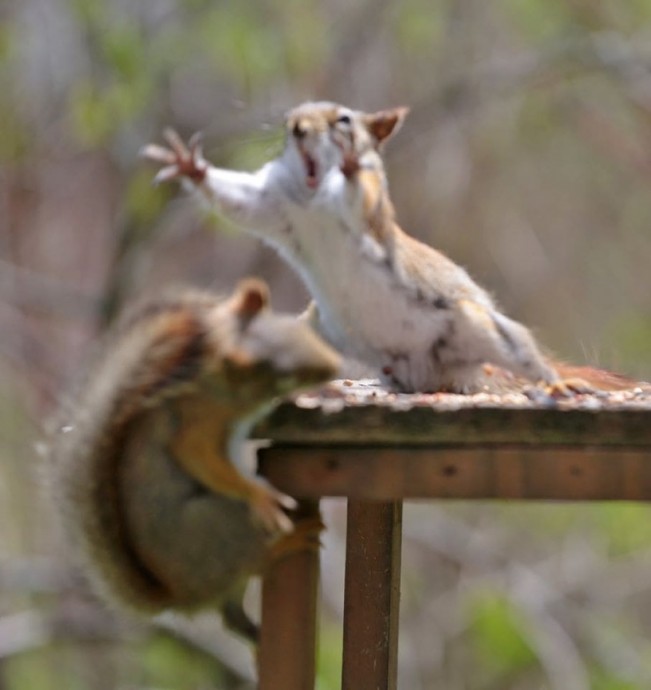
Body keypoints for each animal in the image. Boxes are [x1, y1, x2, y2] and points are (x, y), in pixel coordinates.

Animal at [51, 278, 342, 640]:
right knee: (253, 562)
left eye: (304, 332)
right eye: (282, 375)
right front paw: (259, 494)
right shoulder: (200, 420)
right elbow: (194, 453)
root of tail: (183, 596)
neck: (222, 380)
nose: (335, 367)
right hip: (219, 525)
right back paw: (287, 542)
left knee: (234, 618)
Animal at [140, 102, 644, 392]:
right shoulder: (274, 207)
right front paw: (189, 166)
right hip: (319, 332)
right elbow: (238, 202)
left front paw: (349, 163)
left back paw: (557, 384)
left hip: (474, 326)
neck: (312, 199)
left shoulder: (369, 212)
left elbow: (359, 193)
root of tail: (431, 375)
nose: (297, 127)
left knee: (520, 355)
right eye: (294, 113)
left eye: (344, 119)